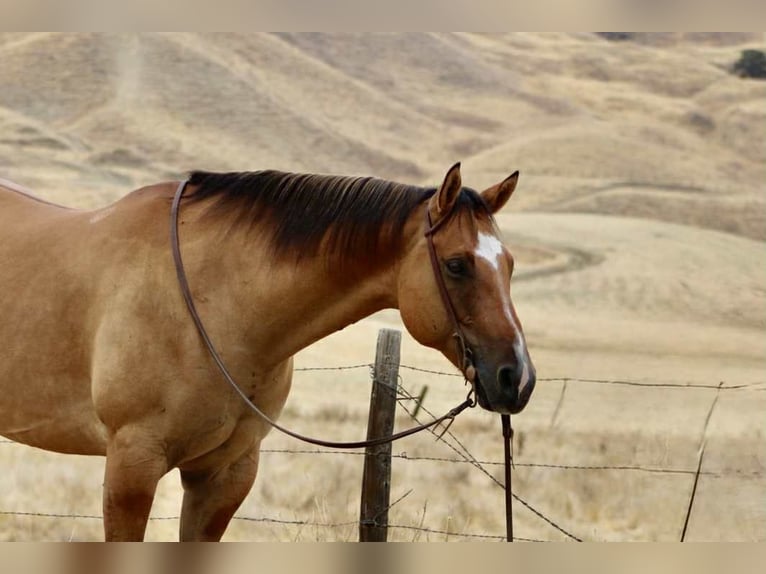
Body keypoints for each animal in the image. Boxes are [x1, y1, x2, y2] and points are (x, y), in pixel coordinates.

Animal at [0, 163, 535, 541]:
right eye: (457, 265)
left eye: (509, 264)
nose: (518, 378)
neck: (216, 300)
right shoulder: (132, 466)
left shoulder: (225, 475)